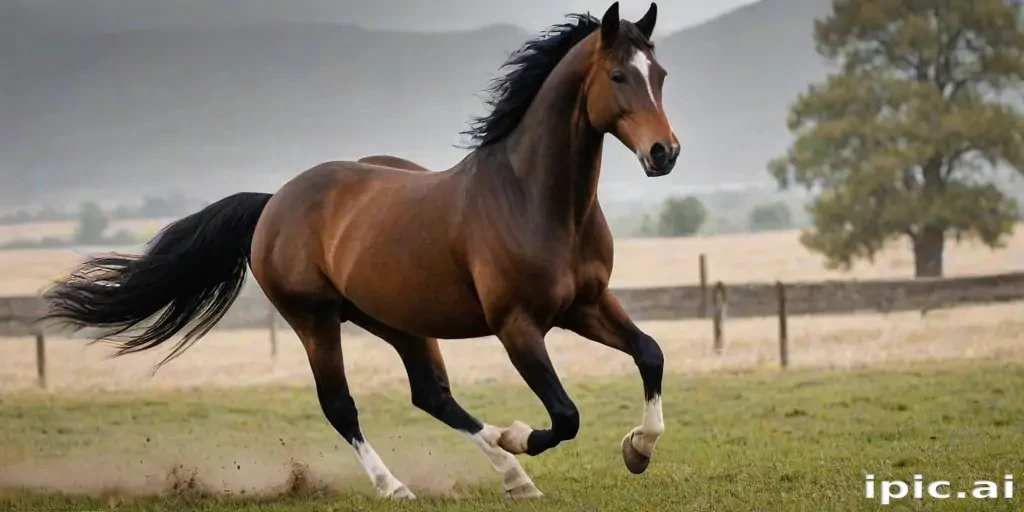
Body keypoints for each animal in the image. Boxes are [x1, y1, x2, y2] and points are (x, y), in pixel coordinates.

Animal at [41, 1, 679, 500]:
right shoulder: (517, 326)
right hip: (315, 319)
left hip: (395, 320)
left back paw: (511, 474)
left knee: (431, 395)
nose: (664, 153)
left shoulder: (586, 305)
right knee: (341, 405)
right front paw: (521, 435)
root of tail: (275, 201)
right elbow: (565, 416)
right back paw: (403, 485)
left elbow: (650, 354)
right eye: (618, 75)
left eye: (661, 73)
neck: (534, 199)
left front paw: (638, 449)